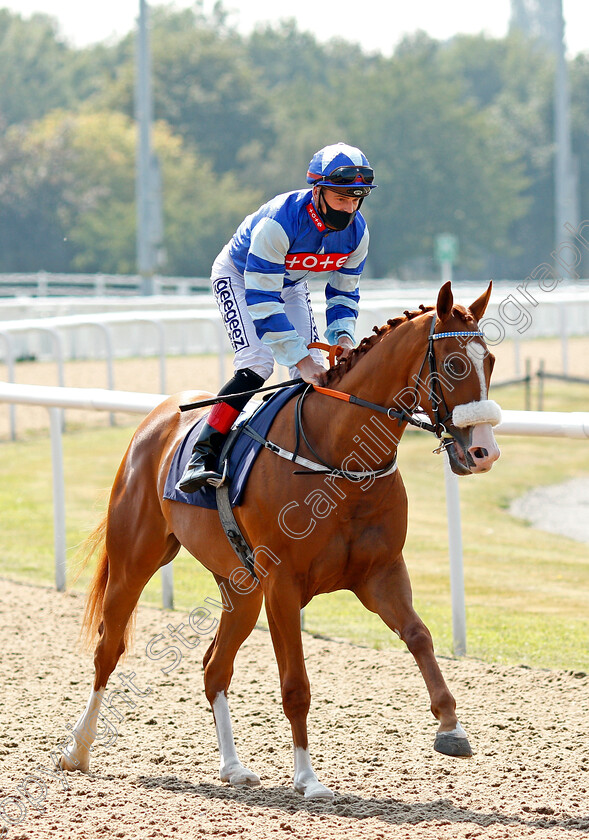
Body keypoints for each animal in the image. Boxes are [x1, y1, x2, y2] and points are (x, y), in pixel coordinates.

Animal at [59, 284, 498, 800]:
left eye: (490, 360)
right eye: (454, 364)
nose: (484, 452)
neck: (338, 458)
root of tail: (158, 416)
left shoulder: (381, 573)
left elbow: (419, 636)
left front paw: (451, 727)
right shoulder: (283, 585)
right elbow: (295, 685)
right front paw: (308, 778)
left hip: (241, 588)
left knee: (214, 667)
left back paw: (233, 767)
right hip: (136, 560)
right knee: (108, 648)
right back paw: (78, 749)